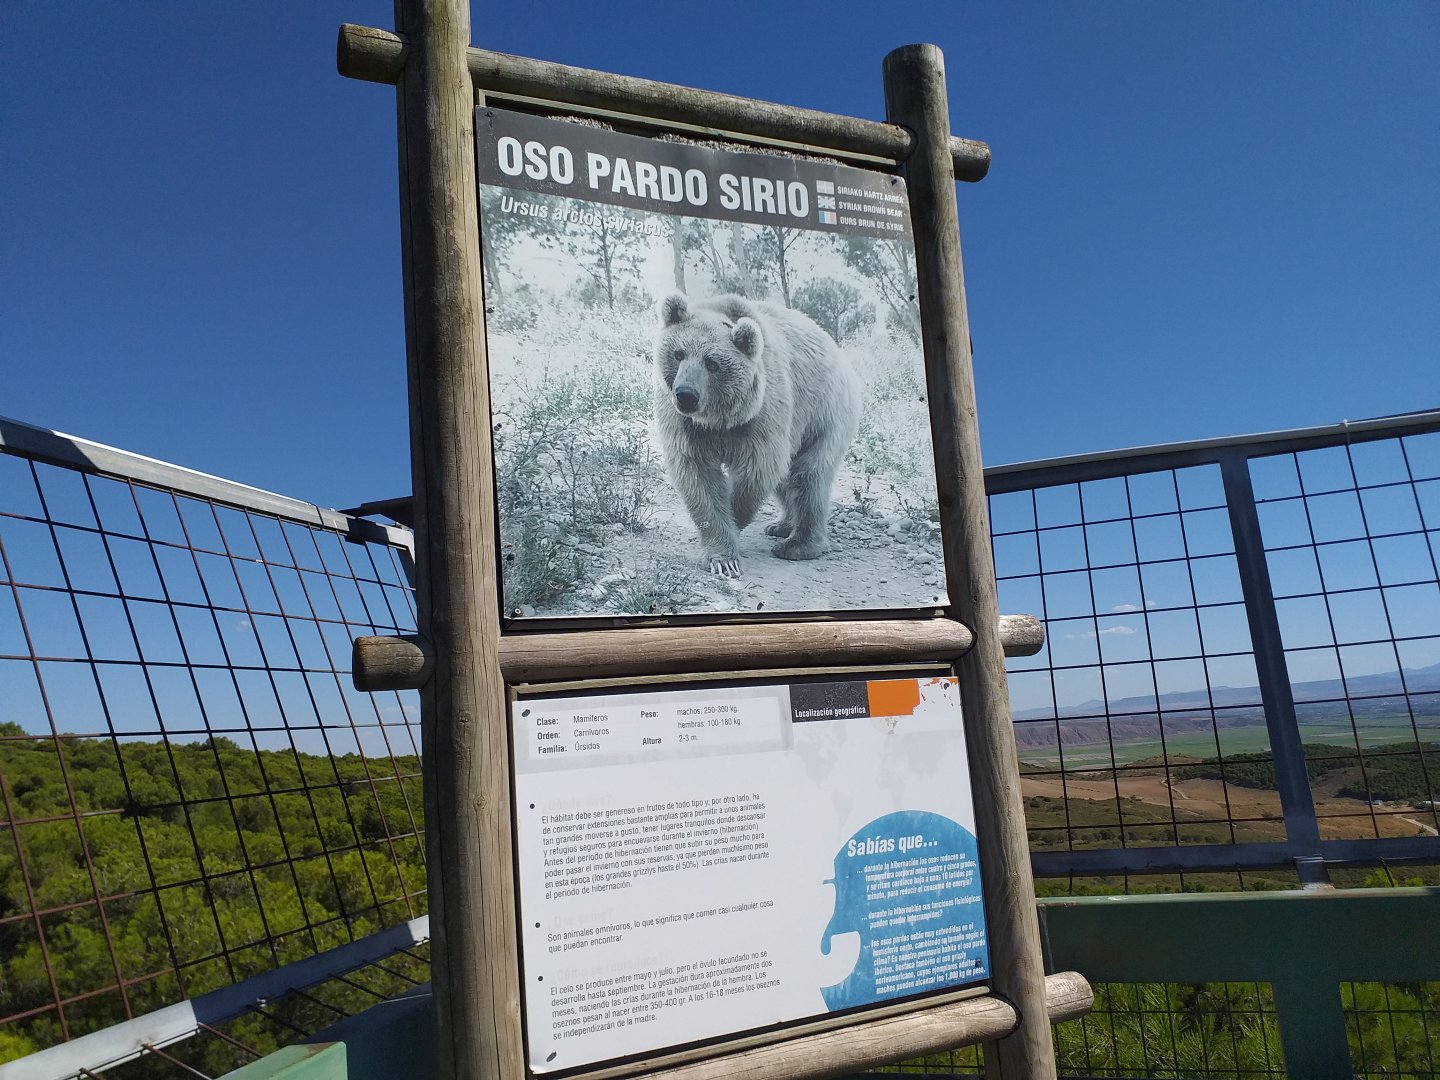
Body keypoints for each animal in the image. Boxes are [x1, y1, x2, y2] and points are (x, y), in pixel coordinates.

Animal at [652, 292, 862, 578]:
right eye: (678, 353)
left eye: (712, 363)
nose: (686, 394)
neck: (718, 420)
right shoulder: (686, 427)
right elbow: (698, 478)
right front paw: (721, 556)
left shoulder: (763, 415)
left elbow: (757, 472)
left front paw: (731, 528)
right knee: (788, 480)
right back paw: (781, 525)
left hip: (823, 416)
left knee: (808, 477)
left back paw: (798, 544)